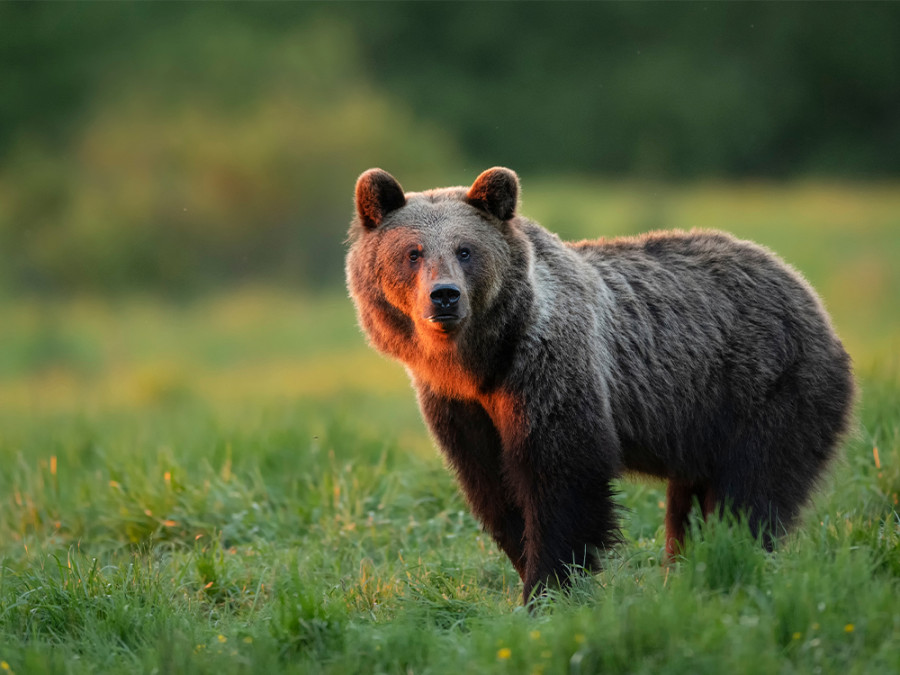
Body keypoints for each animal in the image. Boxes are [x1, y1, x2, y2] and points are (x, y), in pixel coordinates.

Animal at [346, 166, 856, 604]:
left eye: (466, 250)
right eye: (413, 252)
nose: (445, 296)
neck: (482, 362)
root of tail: (802, 288)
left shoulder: (548, 370)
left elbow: (563, 477)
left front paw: (548, 589)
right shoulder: (460, 407)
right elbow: (493, 488)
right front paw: (529, 567)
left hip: (766, 389)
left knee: (751, 491)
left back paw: (729, 562)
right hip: (704, 421)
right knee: (690, 504)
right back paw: (689, 571)